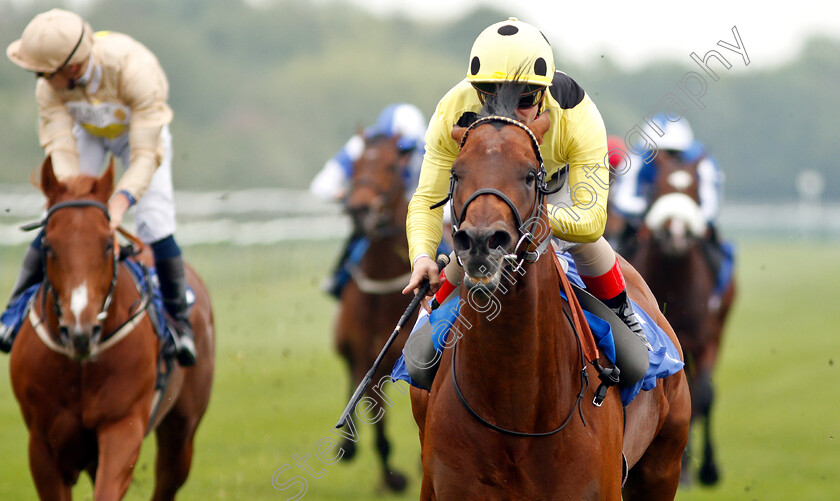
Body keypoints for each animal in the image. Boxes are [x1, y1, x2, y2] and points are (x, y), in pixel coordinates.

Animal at [9, 156, 213, 500]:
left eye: (107, 244)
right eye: (47, 245)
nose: (81, 331)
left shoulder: (122, 426)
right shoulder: (42, 444)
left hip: (182, 433)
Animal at [628, 149, 740, 484]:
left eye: (694, 191)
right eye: (658, 188)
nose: (675, 234)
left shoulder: (704, 341)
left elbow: (704, 395)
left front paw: (709, 468)